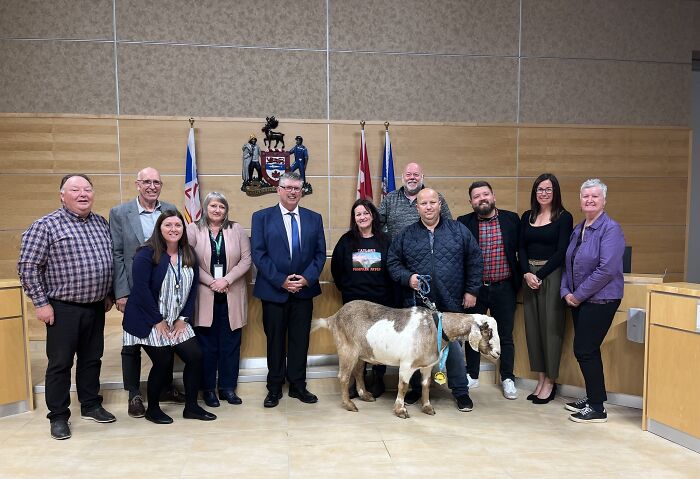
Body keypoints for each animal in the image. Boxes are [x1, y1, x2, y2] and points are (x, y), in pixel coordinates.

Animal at [310, 302, 498, 418]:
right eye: (488, 331)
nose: (497, 353)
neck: (436, 328)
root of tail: (333, 318)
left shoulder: (426, 365)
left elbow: (425, 385)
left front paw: (427, 407)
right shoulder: (407, 364)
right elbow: (403, 386)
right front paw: (400, 410)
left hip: (362, 352)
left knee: (357, 372)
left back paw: (365, 395)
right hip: (347, 349)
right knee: (343, 376)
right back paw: (349, 405)